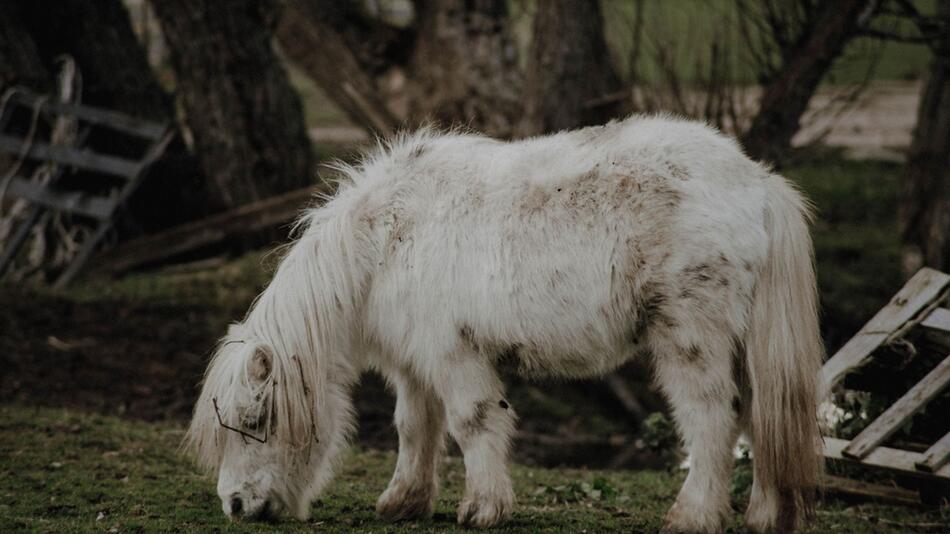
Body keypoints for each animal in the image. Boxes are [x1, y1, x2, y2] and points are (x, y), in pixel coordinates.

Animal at [186, 118, 824, 534]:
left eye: (256, 421)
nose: (235, 506)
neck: (386, 240)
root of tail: (757, 183)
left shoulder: (453, 354)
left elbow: (472, 423)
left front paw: (483, 508)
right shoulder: (414, 364)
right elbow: (415, 428)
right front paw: (404, 502)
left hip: (692, 337)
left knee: (713, 419)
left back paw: (693, 517)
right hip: (744, 343)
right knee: (761, 415)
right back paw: (767, 516)